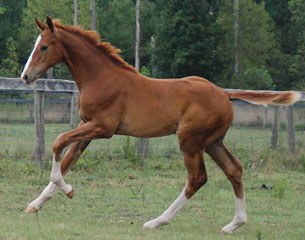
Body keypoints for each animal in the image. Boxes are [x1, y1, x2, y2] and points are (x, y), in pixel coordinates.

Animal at [20, 16, 300, 232]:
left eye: (44, 47)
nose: (25, 76)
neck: (101, 78)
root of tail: (224, 94)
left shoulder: (103, 128)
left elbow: (58, 143)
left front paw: (68, 190)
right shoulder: (87, 127)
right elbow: (67, 160)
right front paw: (36, 204)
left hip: (190, 140)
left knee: (197, 178)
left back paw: (158, 221)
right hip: (212, 142)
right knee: (234, 170)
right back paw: (235, 224)